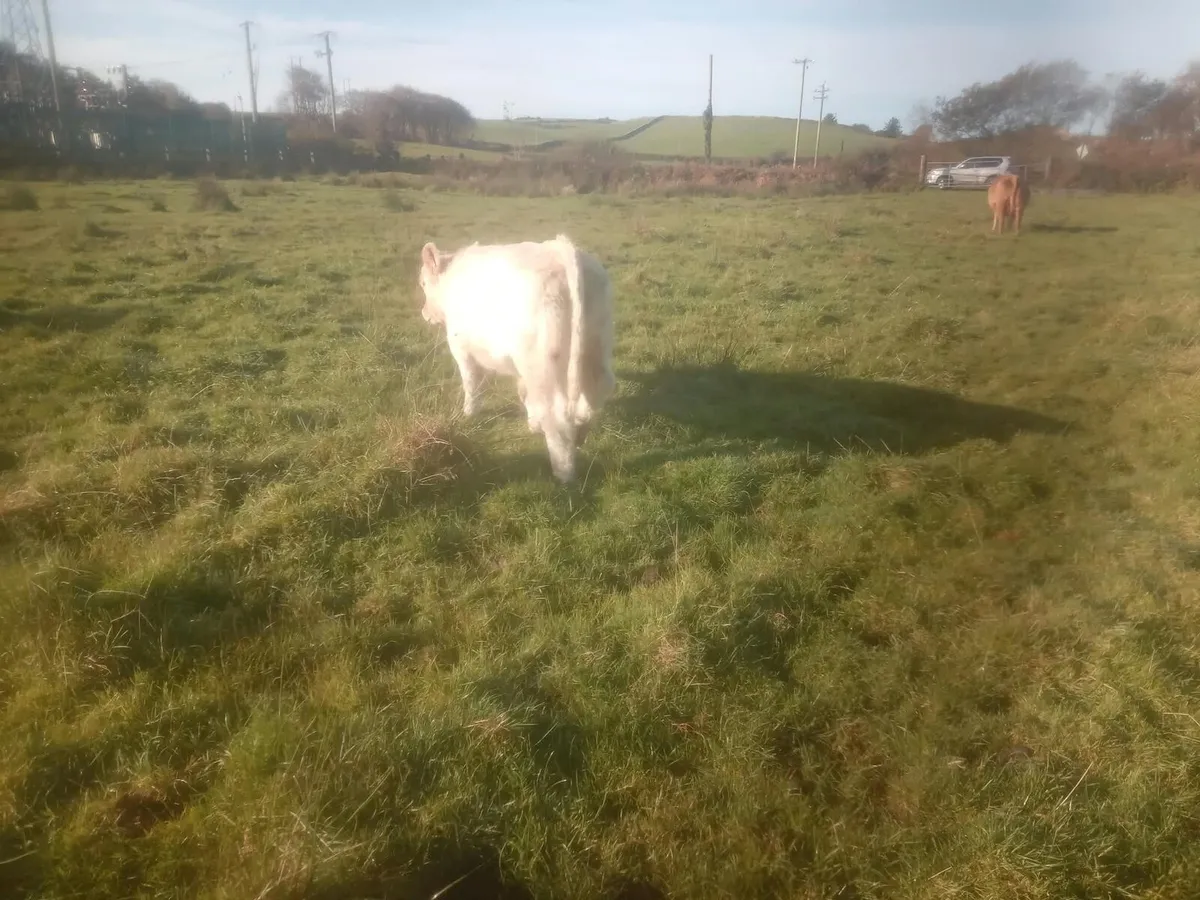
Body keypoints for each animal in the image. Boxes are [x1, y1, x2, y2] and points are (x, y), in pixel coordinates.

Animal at [417, 234, 616, 484]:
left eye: (423, 284)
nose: (424, 313)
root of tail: (561, 249)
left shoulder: (460, 346)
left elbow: (472, 382)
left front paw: (469, 413)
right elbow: (524, 391)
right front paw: (532, 422)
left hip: (541, 363)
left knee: (556, 415)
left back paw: (563, 473)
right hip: (595, 347)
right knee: (595, 394)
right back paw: (579, 433)